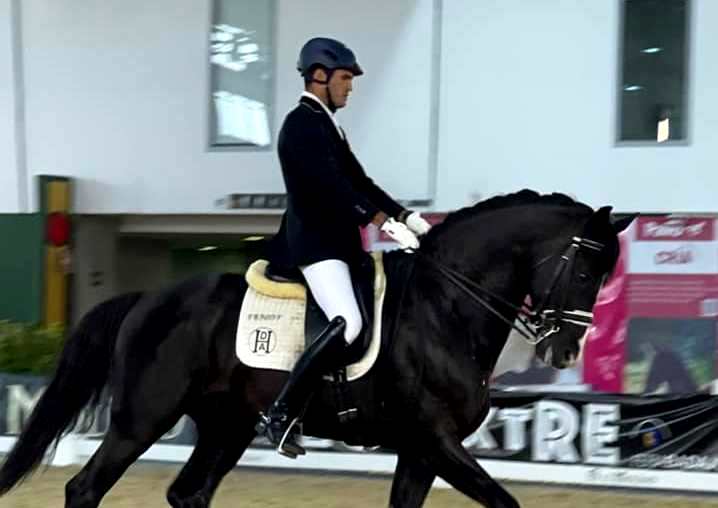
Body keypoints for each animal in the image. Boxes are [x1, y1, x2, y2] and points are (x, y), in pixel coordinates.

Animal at [0, 190, 633, 507]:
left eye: (605, 276)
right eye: (584, 270)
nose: (564, 353)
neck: (447, 305)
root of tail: (145, 298)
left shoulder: (421, 451)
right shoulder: (435, 439)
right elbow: (506, 505)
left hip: (227, 426)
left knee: (188, 494)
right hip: (143, 417)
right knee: (85, 488)